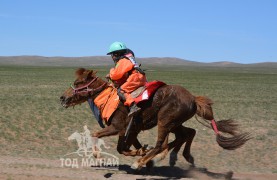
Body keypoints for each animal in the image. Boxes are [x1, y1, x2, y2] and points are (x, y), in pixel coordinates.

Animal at [59, 68, 250, 170]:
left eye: (77, 83)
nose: (62, 97)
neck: (109, 98)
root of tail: (193, 98)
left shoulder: (118, 127)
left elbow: (98, 136)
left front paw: (98, 155)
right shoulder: (131, 130)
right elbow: (124, 148)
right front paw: (141, 151)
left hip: (165, 121)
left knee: (163, 143)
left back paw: (144, 162)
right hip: (174, 123)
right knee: (188, 133)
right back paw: (178, 156)